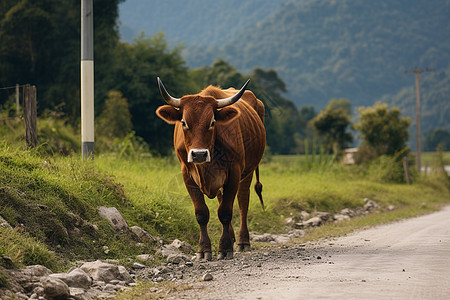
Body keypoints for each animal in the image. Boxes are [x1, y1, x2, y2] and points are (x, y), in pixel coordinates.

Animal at [156, 78, 266, 260]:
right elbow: (202, 213)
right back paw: (232, 237)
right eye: (184, 122)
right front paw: (204, 250)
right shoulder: (187, 174)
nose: (199, 154)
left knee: (243, 201)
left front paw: (225, 248)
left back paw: (243, 242)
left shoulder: (234, 171)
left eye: (212, 122)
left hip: (248, 171)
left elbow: (226, 212)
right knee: (223, 199)